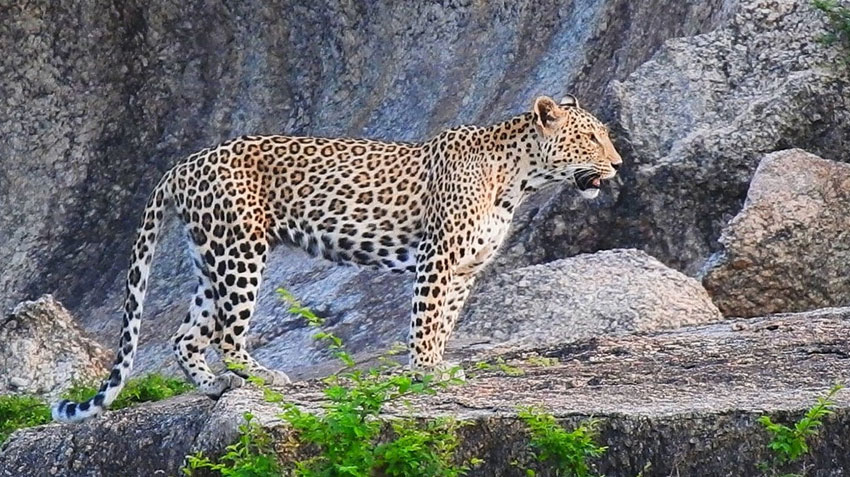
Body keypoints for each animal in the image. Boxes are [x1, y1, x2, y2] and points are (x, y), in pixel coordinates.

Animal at [52, 95, 622, 421]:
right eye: (592, 137)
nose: (617, 164)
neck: (520, 178)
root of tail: (182, 163)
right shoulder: (437, 260)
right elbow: (425, 321)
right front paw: (426, 372)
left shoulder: (464, 270)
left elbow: (444, 323)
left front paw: (438, 366)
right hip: (240, 251)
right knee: (228, 335)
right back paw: (263, 378)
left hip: (210, 256)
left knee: (186, 335)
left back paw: (216, 387)